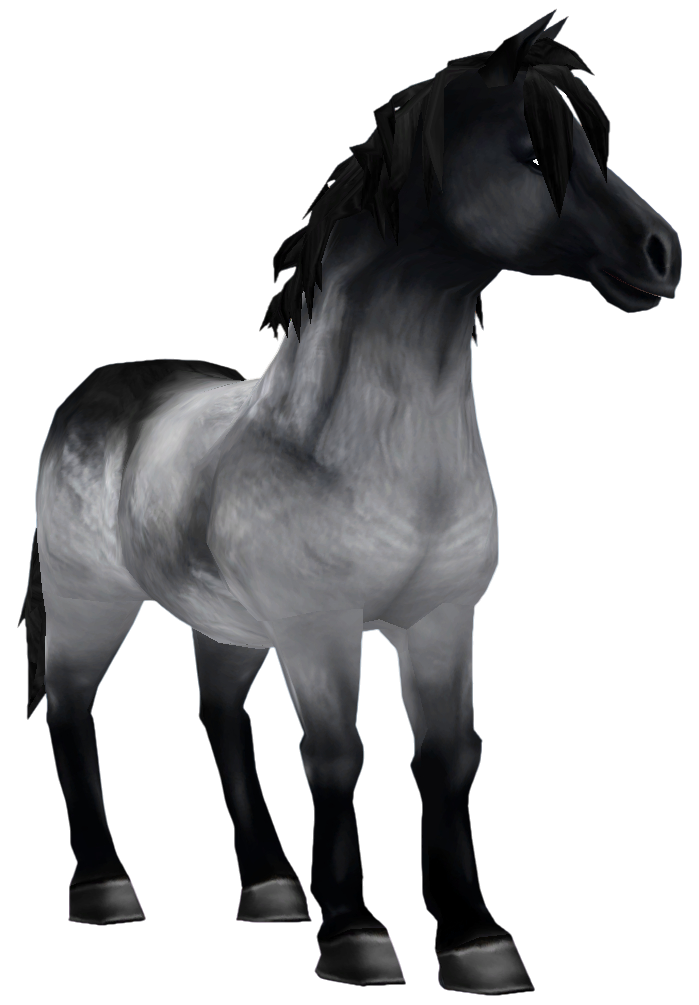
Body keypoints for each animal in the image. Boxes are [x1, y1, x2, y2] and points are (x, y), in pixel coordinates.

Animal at [21, 12, 680, 993]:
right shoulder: (319, 628)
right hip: (91, 601)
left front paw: (476, 940)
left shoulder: (441, 620)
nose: (660, 253)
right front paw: (357, 938)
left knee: (219, 719)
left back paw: (268, 888)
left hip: (225, 626)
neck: (352, 447)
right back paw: (106, 890)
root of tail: (92, 395)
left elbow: (446, 759)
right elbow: (335, 757)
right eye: (532, 155)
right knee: (72, 710)